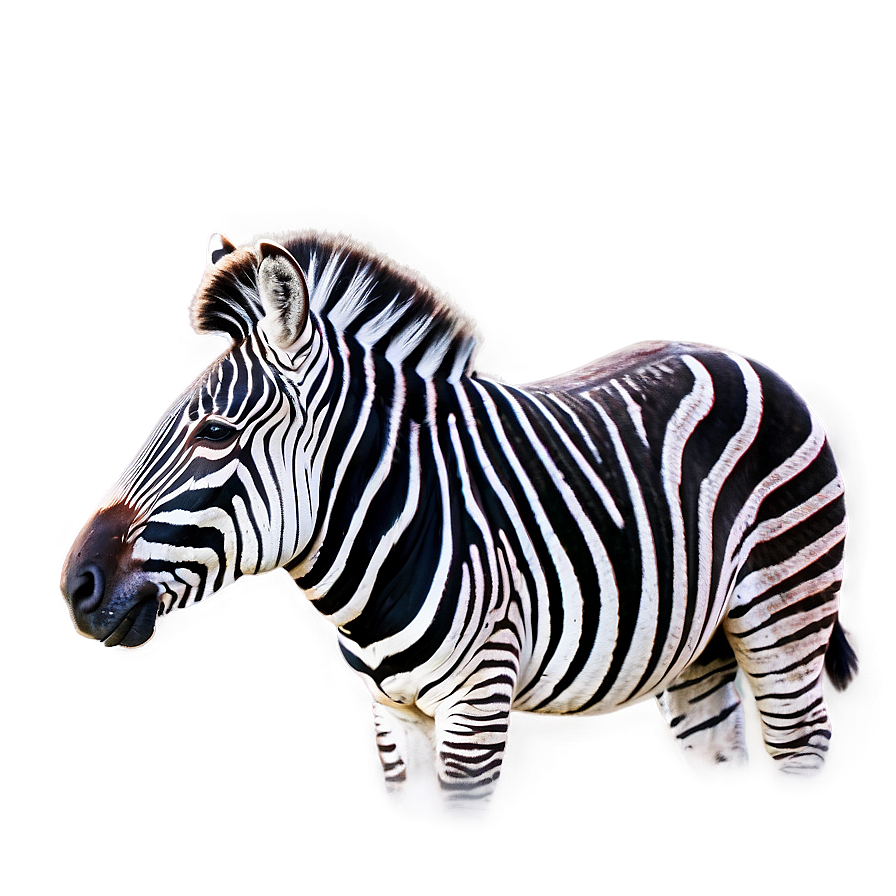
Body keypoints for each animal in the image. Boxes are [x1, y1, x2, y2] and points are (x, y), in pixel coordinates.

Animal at [61, 229, 858, 814]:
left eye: (216, 434)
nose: (78, 586)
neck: (399, 521)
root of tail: (739, 356)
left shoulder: (477, 707)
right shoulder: (396, 718)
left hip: (786, 614)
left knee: (803, 743)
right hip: (699, 651)